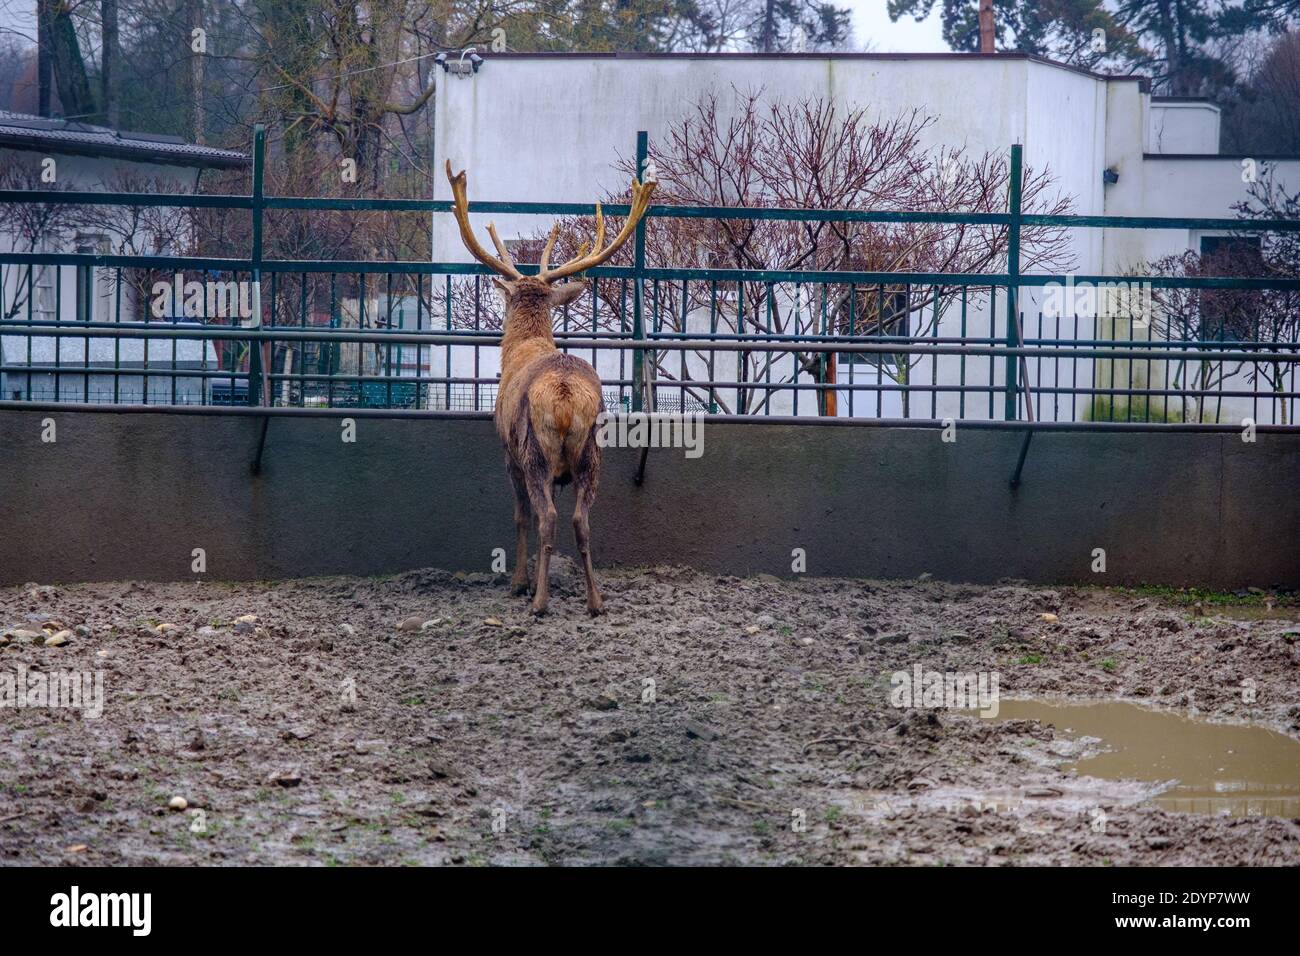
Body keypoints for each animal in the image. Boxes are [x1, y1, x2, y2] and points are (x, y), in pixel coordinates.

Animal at [447, 160, 655, 616]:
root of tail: (563, 398)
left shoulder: (507, 453)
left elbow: (520, 516)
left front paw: (518, 583)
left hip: (534, 452)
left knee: (546, 519)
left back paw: (539, 601)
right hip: (592, 453)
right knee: (580, 521)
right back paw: (596, 601)